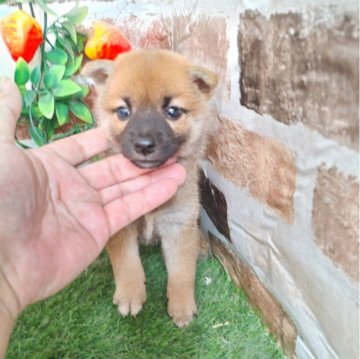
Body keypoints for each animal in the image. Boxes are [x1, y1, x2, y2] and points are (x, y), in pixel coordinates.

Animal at [81, 50, 217, 330]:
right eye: (123, 111)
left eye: (173, 111)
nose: (144, 145)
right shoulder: (122, 223)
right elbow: (126, 261)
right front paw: (130, 294)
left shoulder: (178, 224)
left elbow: (182, 271)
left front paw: (181, 306)